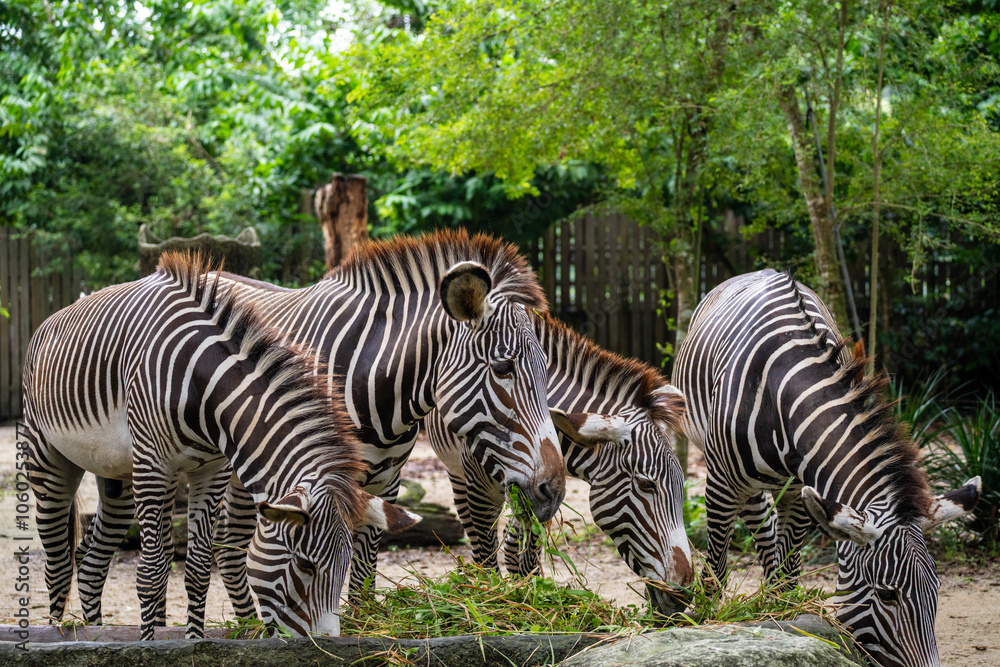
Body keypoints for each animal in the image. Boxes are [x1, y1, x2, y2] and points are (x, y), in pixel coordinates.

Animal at [21, 253, 418, 640]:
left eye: (345, 564)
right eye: (305, 564)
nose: (326, 643)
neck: (203, 383)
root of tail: (51, 319)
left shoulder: (212, 469)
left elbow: (198, 568)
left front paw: (195, 642)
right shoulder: (153, 466)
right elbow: (152, 572)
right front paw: (147, 646)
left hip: (116, 477)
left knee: (90, 560)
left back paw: (93, 633)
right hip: (47, 460)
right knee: (57, 563)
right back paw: (57, 634)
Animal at [425, 310, 694, 615]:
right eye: (646, 484)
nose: (684, 595)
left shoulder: (545, 488)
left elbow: (525, 554)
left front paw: (530, 597)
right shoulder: (482, 485)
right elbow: (487, 552)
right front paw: (489, 600)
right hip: (457, 474)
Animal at [672, 268, 981, 667]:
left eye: (938, 588)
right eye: (888, 594)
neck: (787, 394)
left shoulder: (803, 490)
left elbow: (788, 570)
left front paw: (781, 615)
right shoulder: (721, 484)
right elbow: (717, 567)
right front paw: (707, 620)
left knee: (766, 530)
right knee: (752, 522)